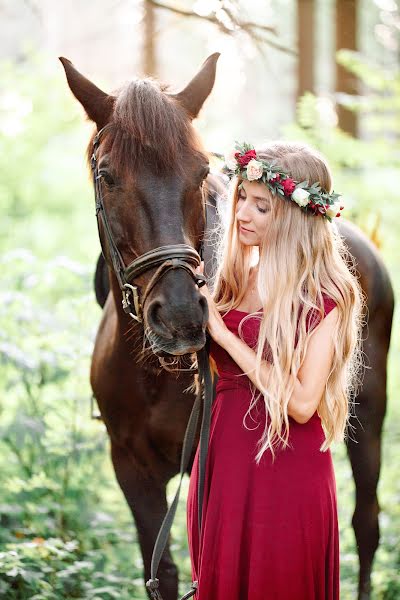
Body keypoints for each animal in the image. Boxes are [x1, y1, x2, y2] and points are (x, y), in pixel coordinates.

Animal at [60, 56, 394, 600]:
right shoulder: (131, 467)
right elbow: (163, 572)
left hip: (368, 415)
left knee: (366, 526)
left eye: (198, 172)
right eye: (107, 176)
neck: (157, 372)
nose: (180, 316)